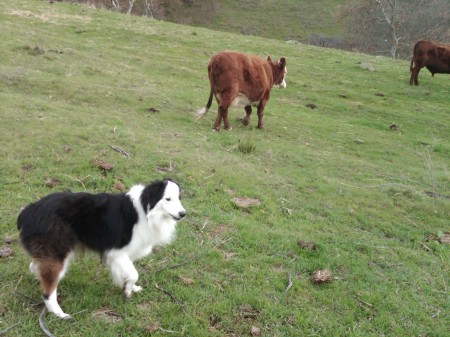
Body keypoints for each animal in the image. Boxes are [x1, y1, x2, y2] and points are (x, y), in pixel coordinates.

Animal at [17, 178, 186, 318]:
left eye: (179, 198)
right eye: (168, 199)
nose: (183, 213)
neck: (146, 210)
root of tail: (28, 211)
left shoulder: (123, 254)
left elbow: (128, 273)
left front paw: (130, 287)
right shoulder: (117, 252)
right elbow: (134, 273)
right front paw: (127, 290)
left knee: (35, 267)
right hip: (58, 254)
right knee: (48, 291)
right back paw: (59, 313)